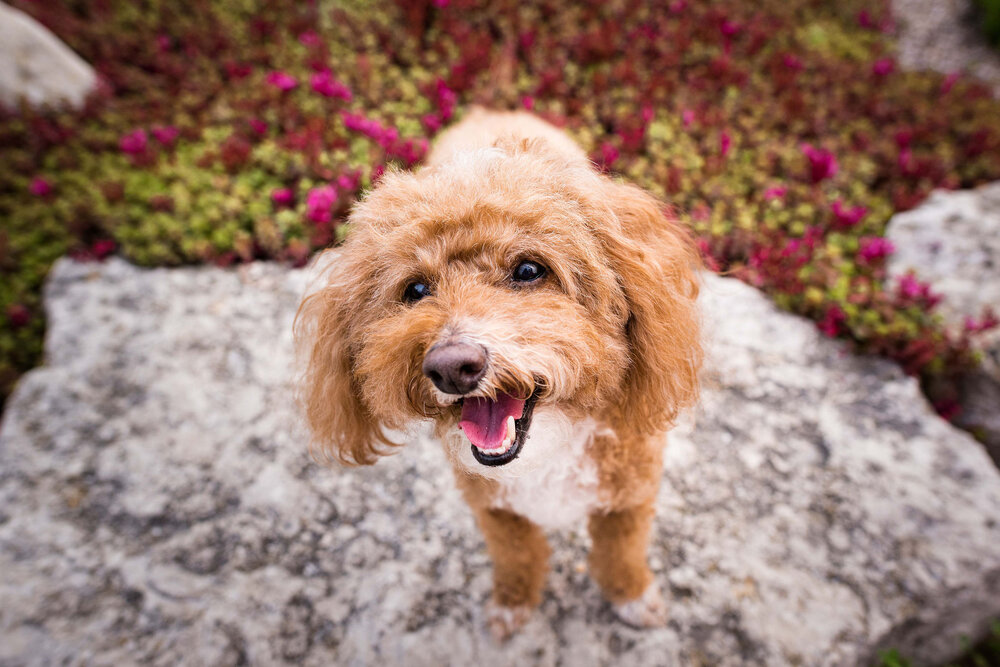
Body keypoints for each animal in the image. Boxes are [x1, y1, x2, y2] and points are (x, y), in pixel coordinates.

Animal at [296, 107, 704, 640]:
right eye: (416, 289)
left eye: (529, 270)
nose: (452, 366)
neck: (548, 450)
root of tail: (490, 111)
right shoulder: (496, 509)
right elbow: (517, 556)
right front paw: (512, 604)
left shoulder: (629, 497)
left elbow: (621, 553)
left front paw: (633, 597)